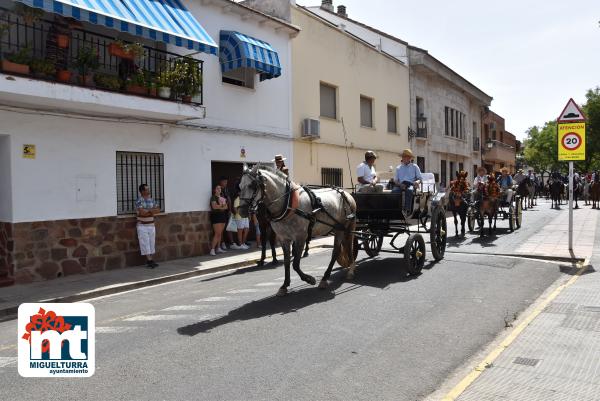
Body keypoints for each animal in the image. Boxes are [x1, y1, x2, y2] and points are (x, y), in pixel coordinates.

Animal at [237, 164, 356, 296]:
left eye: (252, 185)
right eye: (239, 186)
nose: (241, 211)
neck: (288, 204)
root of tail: (346, 193)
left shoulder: (300, 237)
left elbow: (295, 264)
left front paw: (309, 279)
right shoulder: (284, 238)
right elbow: (287, 262)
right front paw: (284, 285)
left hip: (345, 228)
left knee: (339, 250)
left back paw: (332, 276)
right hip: (337, 228)